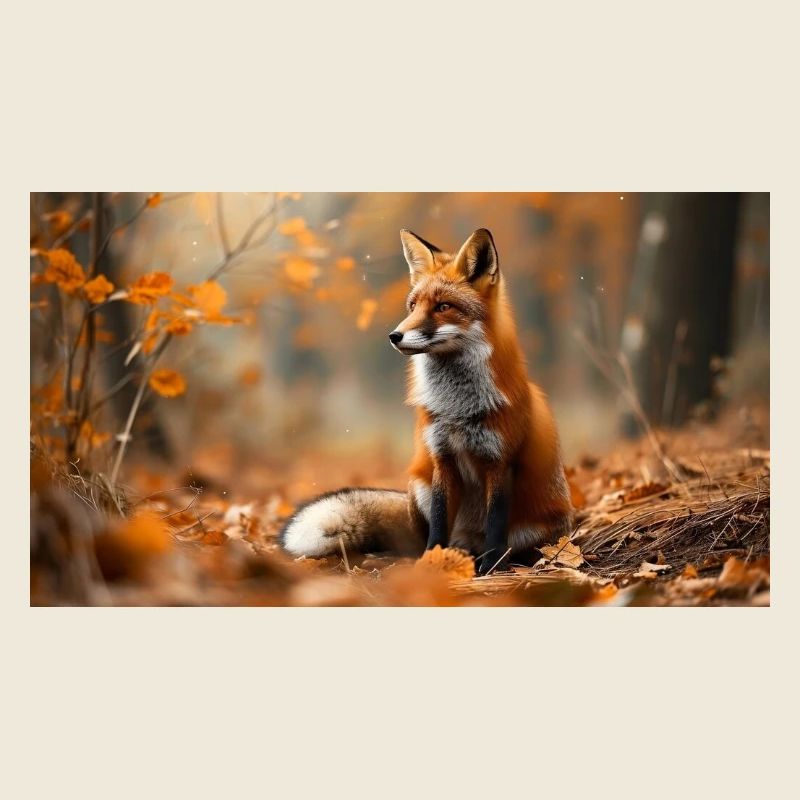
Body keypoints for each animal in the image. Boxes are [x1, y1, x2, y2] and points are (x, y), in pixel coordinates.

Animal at [280, 227, 573, 575]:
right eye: (412, 307)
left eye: (443, 306)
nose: (394, 336)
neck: (457, 409)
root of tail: (468, 540)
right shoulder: (441, 458)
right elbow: (438, 523)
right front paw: (431, 563)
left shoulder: (500, 462)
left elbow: (495, 526)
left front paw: (491, 568)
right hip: (418, 485)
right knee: (419, 540)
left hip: (535, 529)